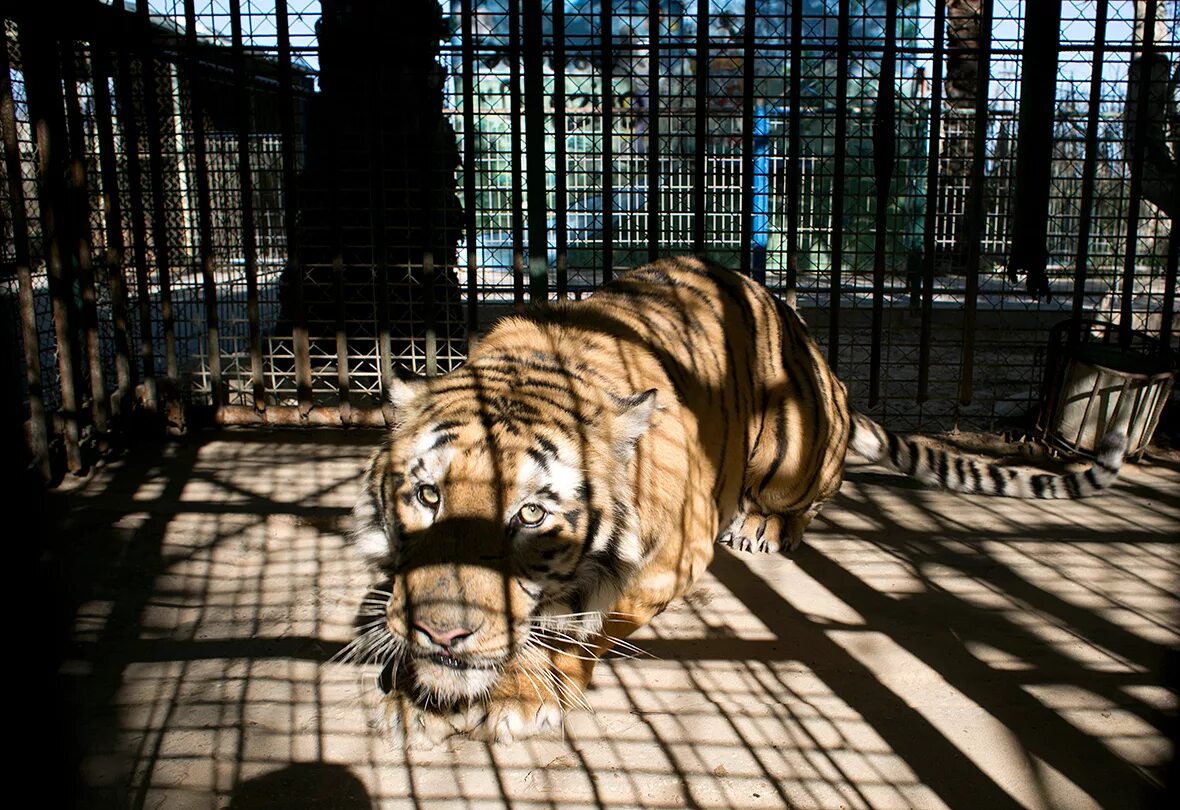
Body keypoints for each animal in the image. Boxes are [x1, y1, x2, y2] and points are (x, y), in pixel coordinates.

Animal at [346, 257, 1123, 746]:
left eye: (529, 515)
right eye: (426, 494)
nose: (442, 634)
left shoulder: (676, 552)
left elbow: (584, 623)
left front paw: (521, 695)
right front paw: (411, 689)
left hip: (789, 450)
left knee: (814, 493)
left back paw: (764, 526)